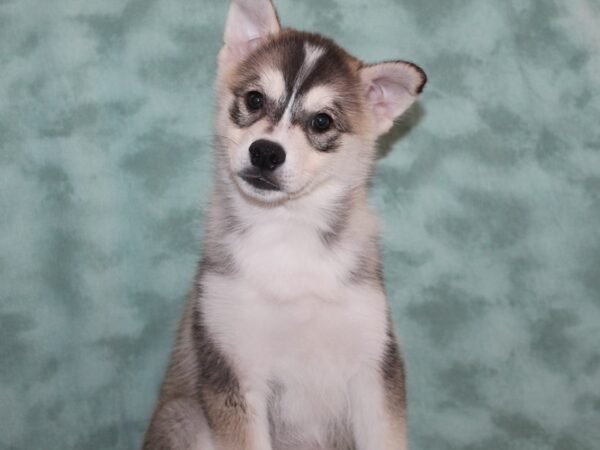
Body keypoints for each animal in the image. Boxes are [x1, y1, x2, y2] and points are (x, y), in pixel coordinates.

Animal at [142, 1, 426, 448]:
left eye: (322, 121)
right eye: (255, 99)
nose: (265, 152)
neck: (286, 233)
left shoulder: (374, 368)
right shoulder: (233, 367)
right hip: (186, 415)